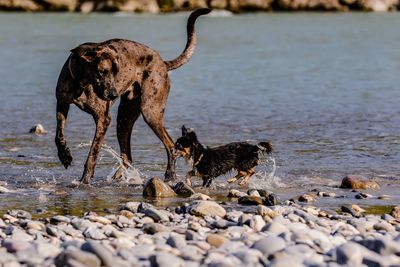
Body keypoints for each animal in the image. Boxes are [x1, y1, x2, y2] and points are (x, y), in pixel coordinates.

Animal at [56, 7, 212, 184]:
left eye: (116, 72)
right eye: (103, 71)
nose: (113, 94)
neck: (81, 83)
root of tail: (162, 63)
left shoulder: (103, 119)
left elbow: (93, 152)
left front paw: (86, 179)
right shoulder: (61, 103)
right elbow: (59, 133)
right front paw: (64, 155)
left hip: (150, 112)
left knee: (170, 145)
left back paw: (170, 174)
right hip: (124, 119)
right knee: (127, 156)